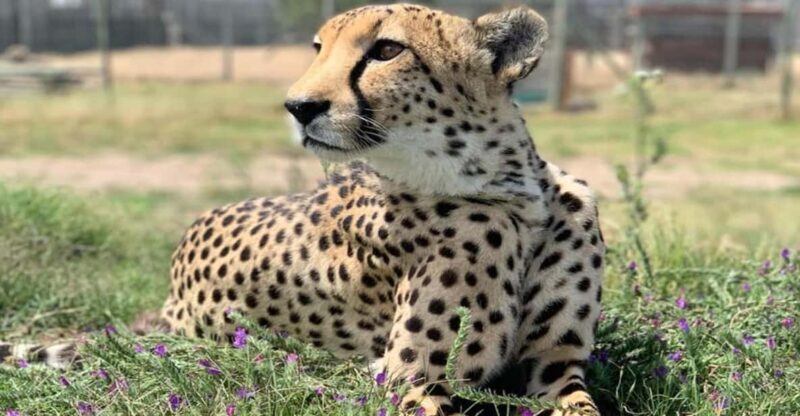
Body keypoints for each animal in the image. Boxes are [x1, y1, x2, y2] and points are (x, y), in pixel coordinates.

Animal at [2, 4, 605, 416]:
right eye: (318, 48)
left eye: (387, 50)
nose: (298, 106)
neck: (512, 190)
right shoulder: (410, 381)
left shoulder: (556, 365)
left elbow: (582, 405)